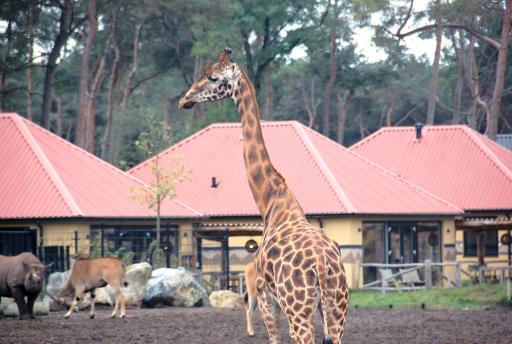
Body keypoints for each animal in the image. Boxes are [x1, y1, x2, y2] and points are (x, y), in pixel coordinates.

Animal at [180, 49, 348, 344]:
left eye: (213, 77)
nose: (184, 100)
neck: (272, 200)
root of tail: (322, 263)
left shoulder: (266, 297)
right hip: (336, 308)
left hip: (299, 308)